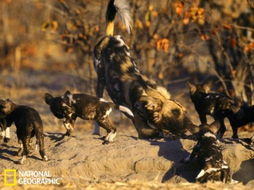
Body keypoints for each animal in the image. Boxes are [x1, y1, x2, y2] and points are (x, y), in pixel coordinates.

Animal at [93, 0, 198, 140]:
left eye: (184, 112)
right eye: (175, 113)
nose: (192, 126)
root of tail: (110, 37)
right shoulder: (143, 130)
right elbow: (160, 132)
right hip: (100, 82)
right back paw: (96, 131)